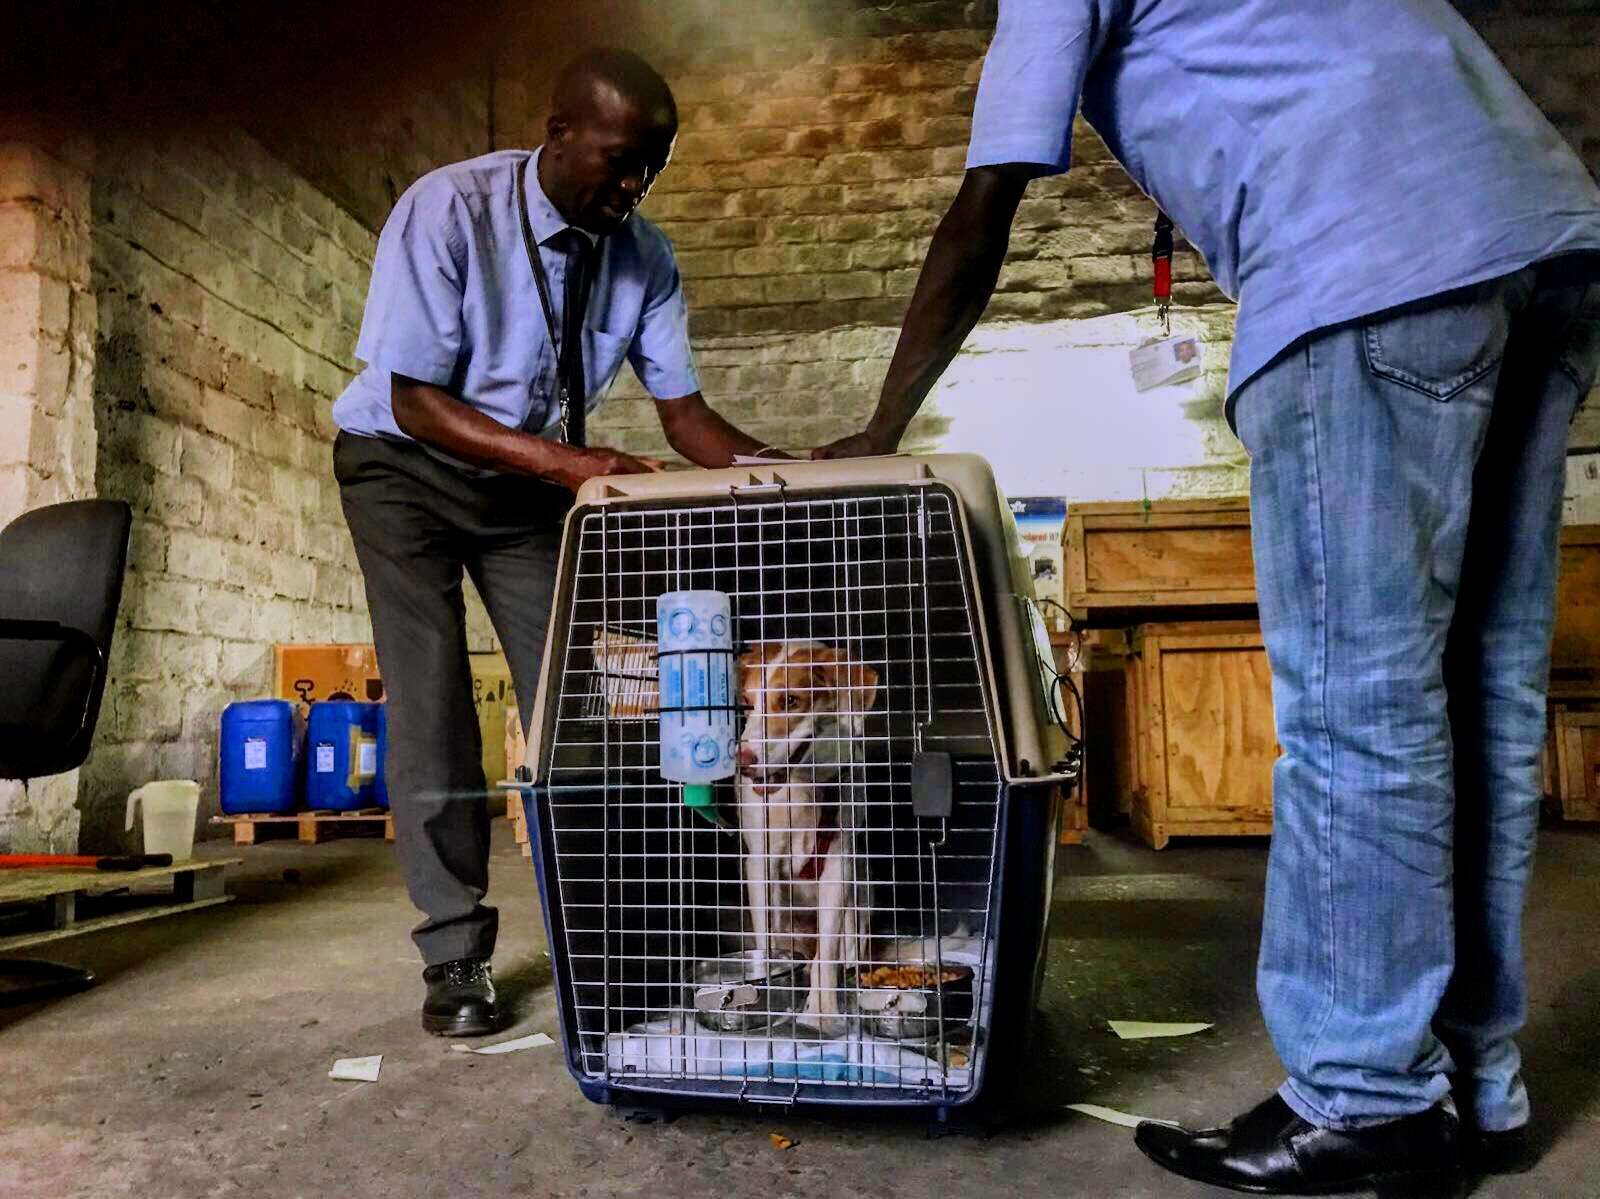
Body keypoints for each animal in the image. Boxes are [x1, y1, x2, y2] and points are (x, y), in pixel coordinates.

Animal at [732, 637, 883, 1037]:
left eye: (790, 701)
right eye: (747, 703)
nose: (742, 760)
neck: (804, 788)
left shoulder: (839, 866)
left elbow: (825, 957)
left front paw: (822, 1013)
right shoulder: (760, 864)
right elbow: (768, 942)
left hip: (863, 897)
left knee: (846, 949)